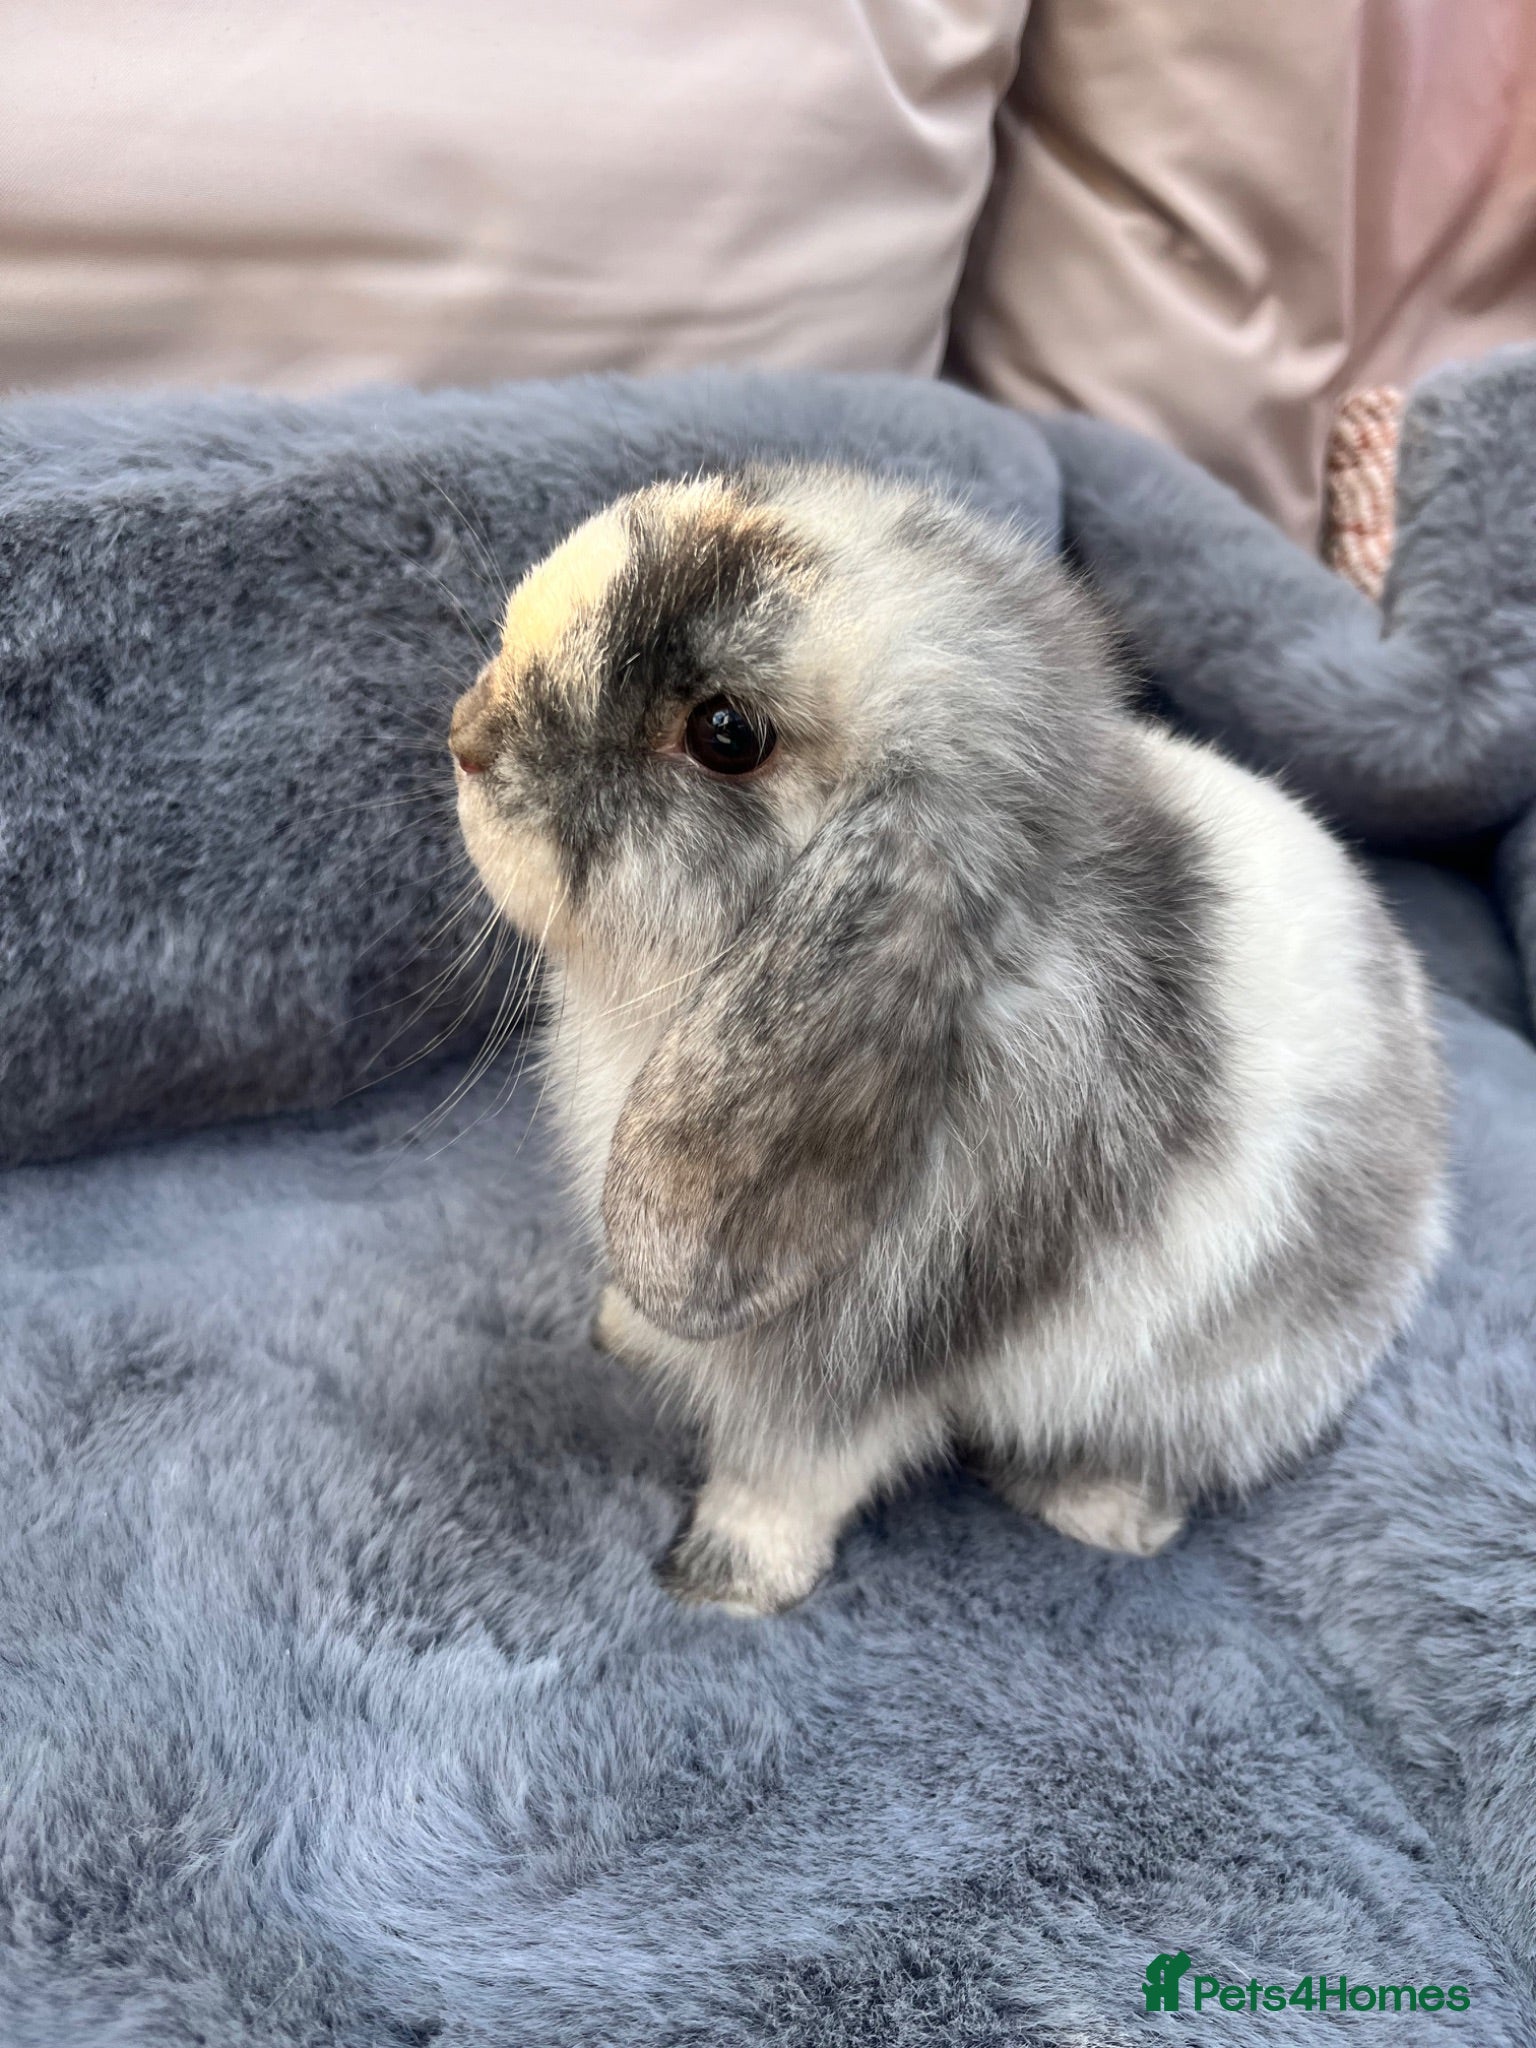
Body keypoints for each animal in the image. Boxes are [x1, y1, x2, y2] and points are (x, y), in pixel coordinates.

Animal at [450, 466, 1447, 1615]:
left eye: (725, 734)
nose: (466, 736)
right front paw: (619, 1330)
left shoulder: (861, 1353)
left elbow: (791, 1470)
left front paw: (722, 1584)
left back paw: (1100, 1514)